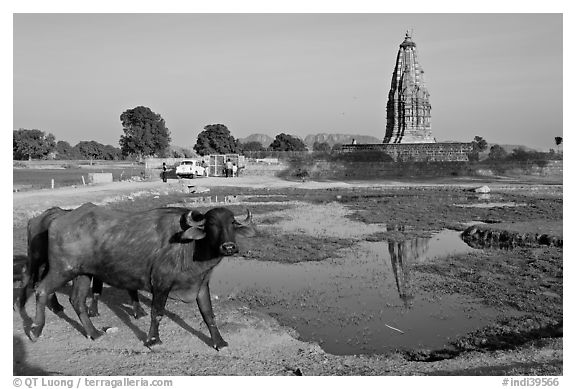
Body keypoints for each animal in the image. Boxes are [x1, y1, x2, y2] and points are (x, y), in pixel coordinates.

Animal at [19, 203, 147, 318]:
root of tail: (34, 220)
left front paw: (138, 310)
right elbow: (97, 290)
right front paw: (93, 311)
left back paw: (56, 306)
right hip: (36, 256)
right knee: (27, 274)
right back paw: (21, 304)